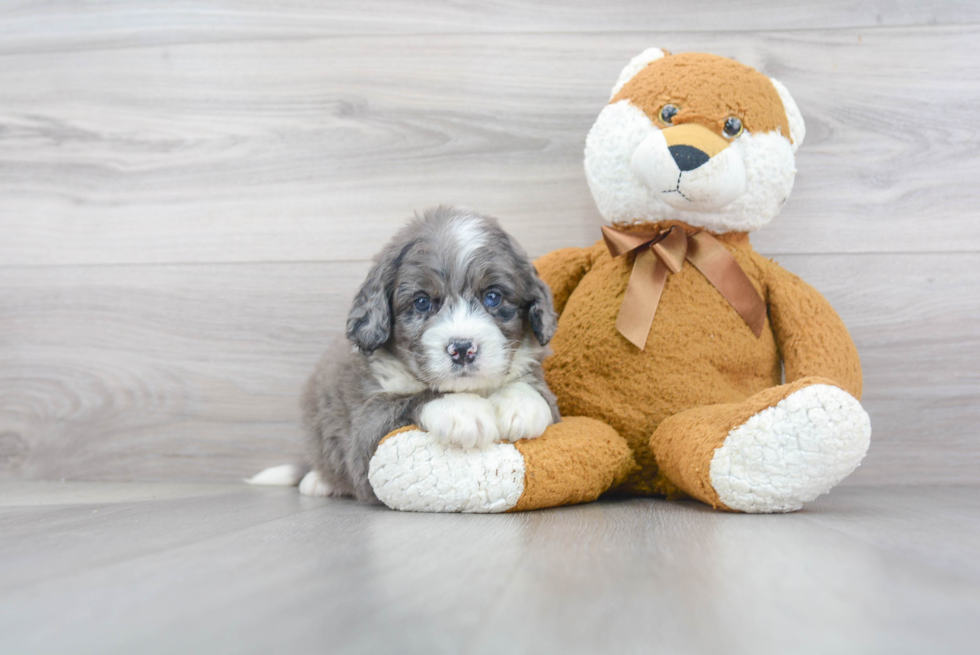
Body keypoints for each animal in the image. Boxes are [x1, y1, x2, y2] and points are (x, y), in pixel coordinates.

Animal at [253, 208, 560, 504]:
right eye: (422, 302)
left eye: (493, 297)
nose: (462, 349)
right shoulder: (365, 433)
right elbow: (410, 399)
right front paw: (462, 410)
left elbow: (534, 390)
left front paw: (521, 405)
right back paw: (317, 480)